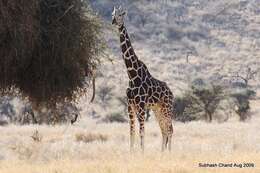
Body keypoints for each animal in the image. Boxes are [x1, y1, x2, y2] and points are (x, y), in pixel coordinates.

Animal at [111, 6, 175, 151]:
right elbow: (132, 131)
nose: (113, 22)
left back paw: (169, 153)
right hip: (158, 109)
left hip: (167, 107)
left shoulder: (141, 105)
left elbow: (142, 131)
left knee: (170, 129)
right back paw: (162, 153)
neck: (132, 75)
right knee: (164, 130)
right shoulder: (130, 105)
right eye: (113, 14)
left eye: (120, 15)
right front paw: (131, 152)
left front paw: (142, 152)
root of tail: (171, 92)